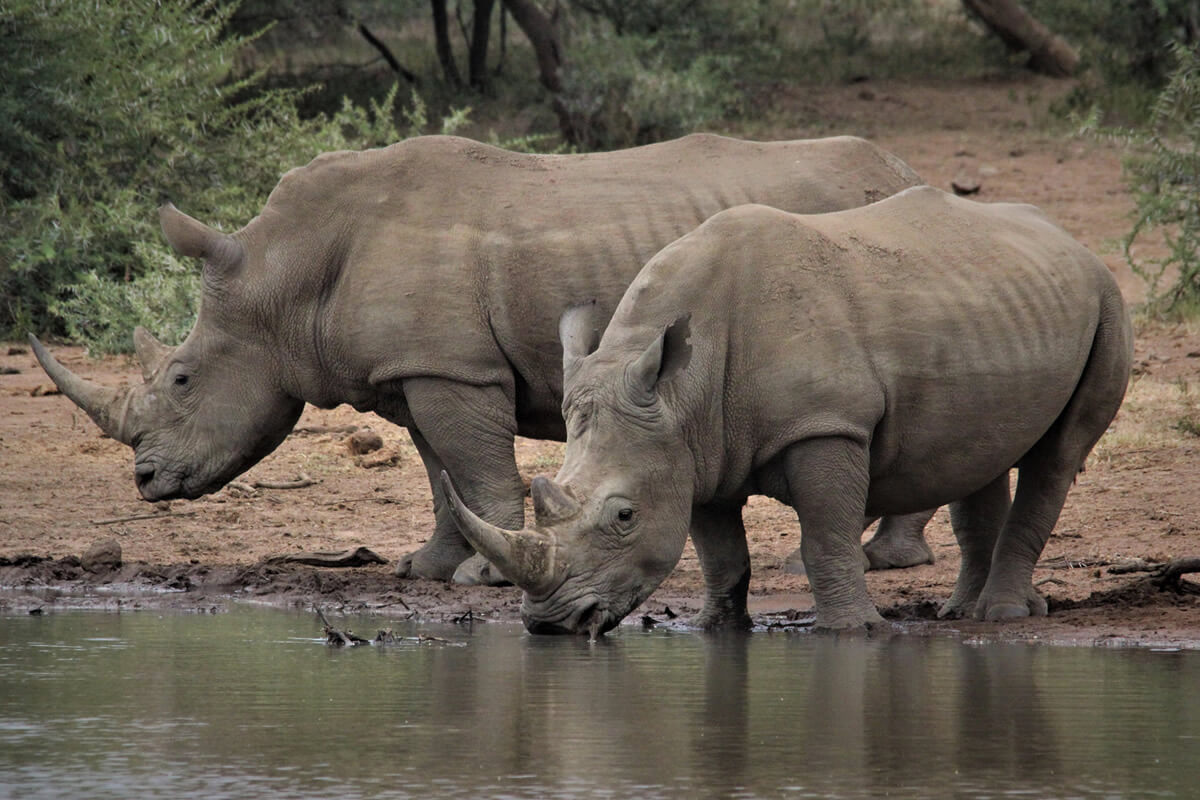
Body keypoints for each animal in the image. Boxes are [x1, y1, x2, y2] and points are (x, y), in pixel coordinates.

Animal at [28, 133, 929, 586]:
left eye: (182, 380)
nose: (145, 482)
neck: (285, 273)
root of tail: (902, 165)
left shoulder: (452, 368)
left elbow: (474, 463)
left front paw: (484, 580)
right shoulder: (417, 367)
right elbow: (440, 471)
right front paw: (426, 568)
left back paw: (884, 560)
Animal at [443, 186, 1133, 634]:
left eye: (623, 516)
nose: (549, 625)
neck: (679, 392)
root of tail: (1069, 240)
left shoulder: (825, 427)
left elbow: (825, 533)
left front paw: (851, 632)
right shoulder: (694, 447)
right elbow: (720, 550)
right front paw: (717, 629)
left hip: (1106, 298)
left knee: (1059, 455)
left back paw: (1002, 615)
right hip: (996, 304)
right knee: (979, 453)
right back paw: (962, 613)